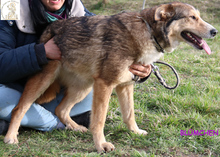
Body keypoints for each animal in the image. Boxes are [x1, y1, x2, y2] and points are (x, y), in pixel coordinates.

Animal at [3, 1, 217, 153]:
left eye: (199, 17)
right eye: (192, 17)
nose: (215, 31)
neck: (147, 31)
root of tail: (51, 27)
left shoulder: (126, 86)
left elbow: (129, 115)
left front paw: (135, 132)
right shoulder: (105, 85)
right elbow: (99, 121)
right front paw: (101, 146)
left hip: (83, 88)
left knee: (60, 109)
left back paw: (76, 127)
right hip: (45, 81)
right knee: (19, 109)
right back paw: (11, 137)